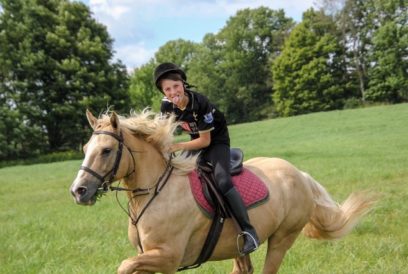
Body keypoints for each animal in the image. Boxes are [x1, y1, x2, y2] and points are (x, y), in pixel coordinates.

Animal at [69, 109, 376, 274]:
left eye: (106, 151)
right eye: (85, 148)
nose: (78, 191)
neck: (155, 193)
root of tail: (299, 174)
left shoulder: (168, 257)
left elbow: (124, 265)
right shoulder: (152, 259)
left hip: (281, 239)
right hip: (238, 246)